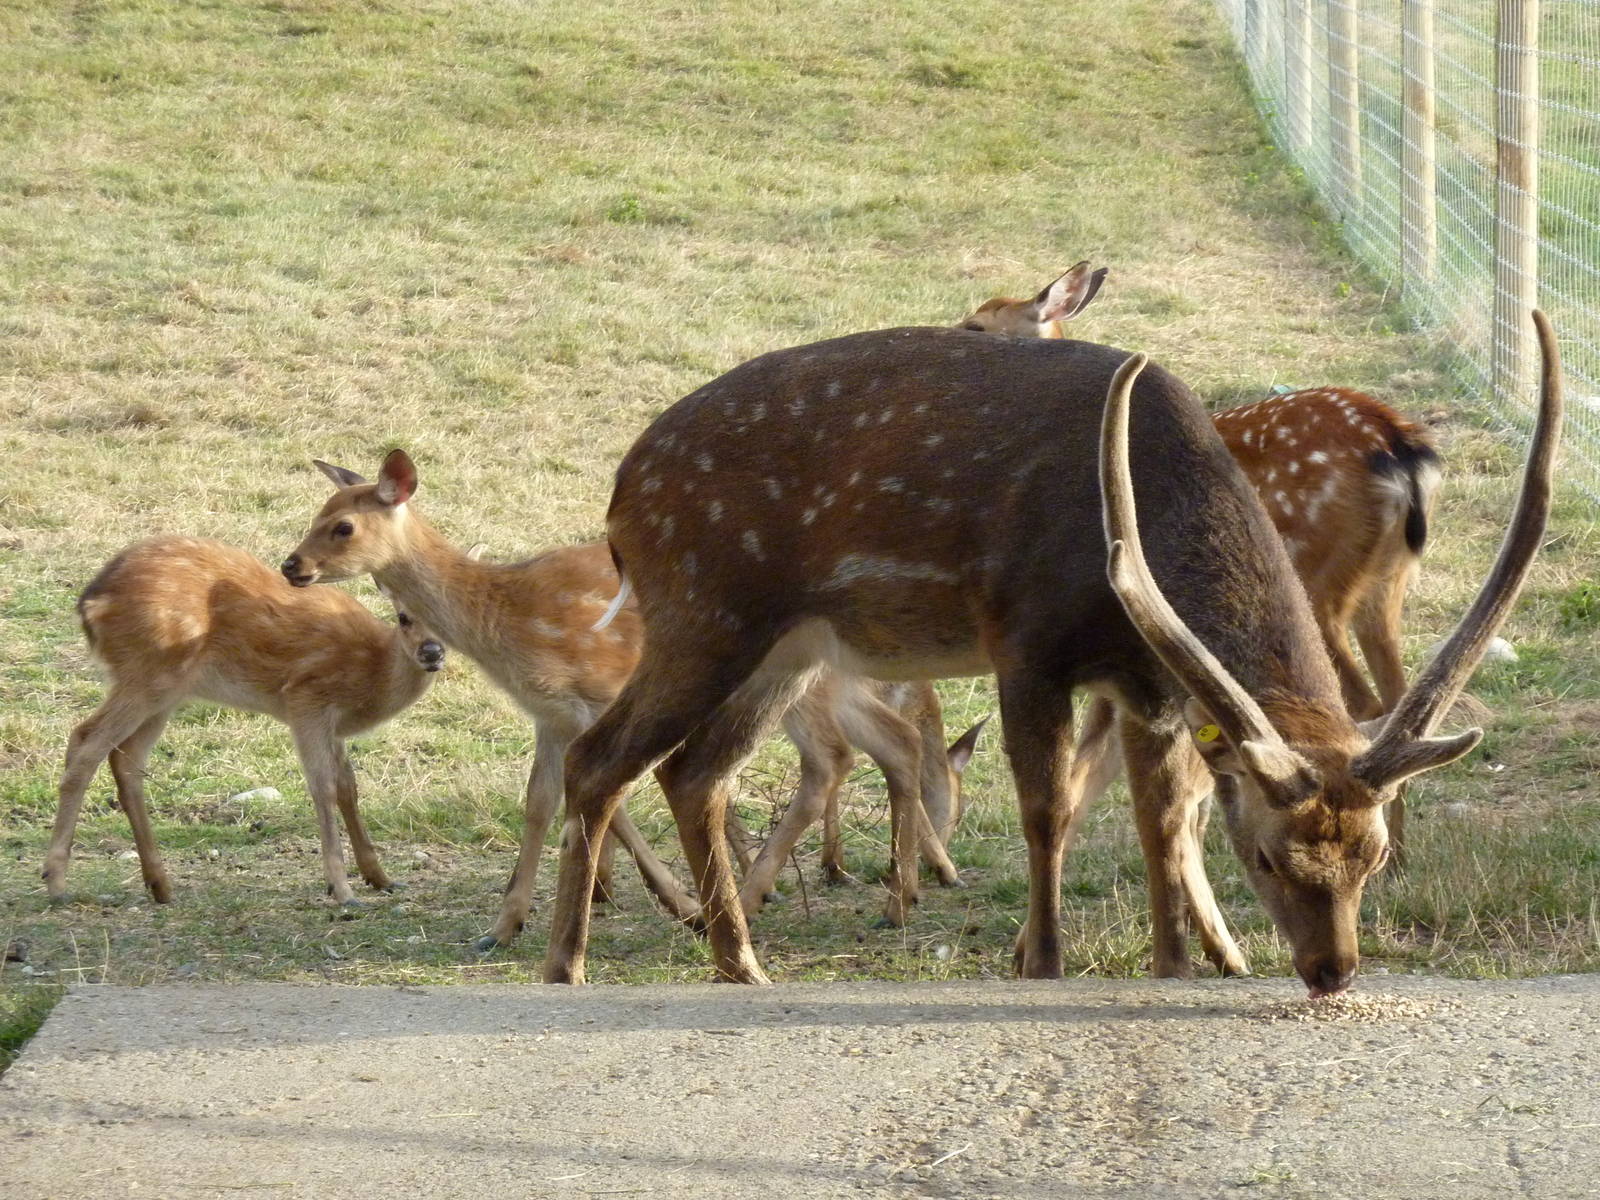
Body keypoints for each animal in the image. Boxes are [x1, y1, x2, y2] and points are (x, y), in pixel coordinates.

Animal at [43, 536, 447, 908]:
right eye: (403, 617)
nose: (432, 652)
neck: (371, 675)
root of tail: (90, 603)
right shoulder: (306, 699)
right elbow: (324, 787)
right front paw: (342, 890)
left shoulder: (332, 726)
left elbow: (349, 786)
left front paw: (381, 877)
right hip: (145, 674)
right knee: (86, 740)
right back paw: (56, 882)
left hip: (164, 693)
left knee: (124, 758)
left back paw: (160, 884)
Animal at [281, 457, 985, 948]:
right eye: (317, 510)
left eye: (343, 526)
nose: (292, 565)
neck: (511, 622)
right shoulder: (550, 714)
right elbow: (540, 803)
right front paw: (502, 928)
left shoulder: (597, 695)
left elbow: (608, 802)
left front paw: (676, 904)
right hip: (828, 684)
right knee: (894, 741)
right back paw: (897, 900)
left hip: (799, 685)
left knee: (835, 759)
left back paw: (762, 897)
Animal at [536, 310, 1560, 997]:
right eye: (1268, 858)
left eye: (1372, 858)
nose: (1332, 970)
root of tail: (621, 500)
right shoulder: (1025, 643)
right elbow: (1047, 811)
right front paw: (1042, 961)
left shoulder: (1150, 683)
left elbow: (1160, 822)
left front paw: (1175, 966)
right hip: (705, 609)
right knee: (600, 758)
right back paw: (568, 963)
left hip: (784, 650)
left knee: (692, 772)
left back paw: (740, 963)